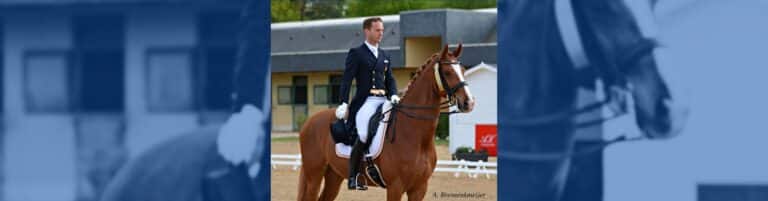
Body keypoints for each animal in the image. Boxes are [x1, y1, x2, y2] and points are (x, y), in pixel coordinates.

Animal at [298, 44, 474, 201]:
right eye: (448, 72)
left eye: (463, 70)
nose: (469, 103)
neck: (414, 134)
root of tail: (309, 122)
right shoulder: (395, 187)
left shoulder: (419, 188)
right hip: (314, 175)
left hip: (334, 175)